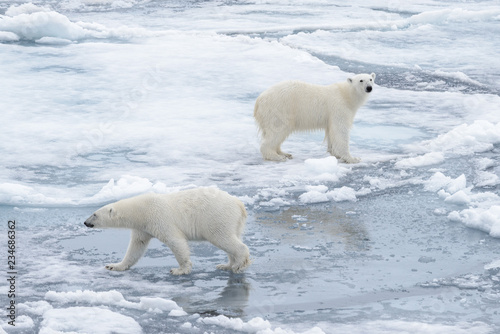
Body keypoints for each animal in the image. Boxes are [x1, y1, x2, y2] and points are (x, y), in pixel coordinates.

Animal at [84, 187, 254, 276]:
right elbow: (136, 247)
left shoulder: (159, 218)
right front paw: (114, 266)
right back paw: (226, 265)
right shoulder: (142, 227)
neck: (141, 210)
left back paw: (238, 265)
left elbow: (176, 241)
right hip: (234, 222)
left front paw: (179, 269)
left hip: (216, 217)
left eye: (94, 214)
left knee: (223, 238)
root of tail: (239, 204)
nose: (85, 222)